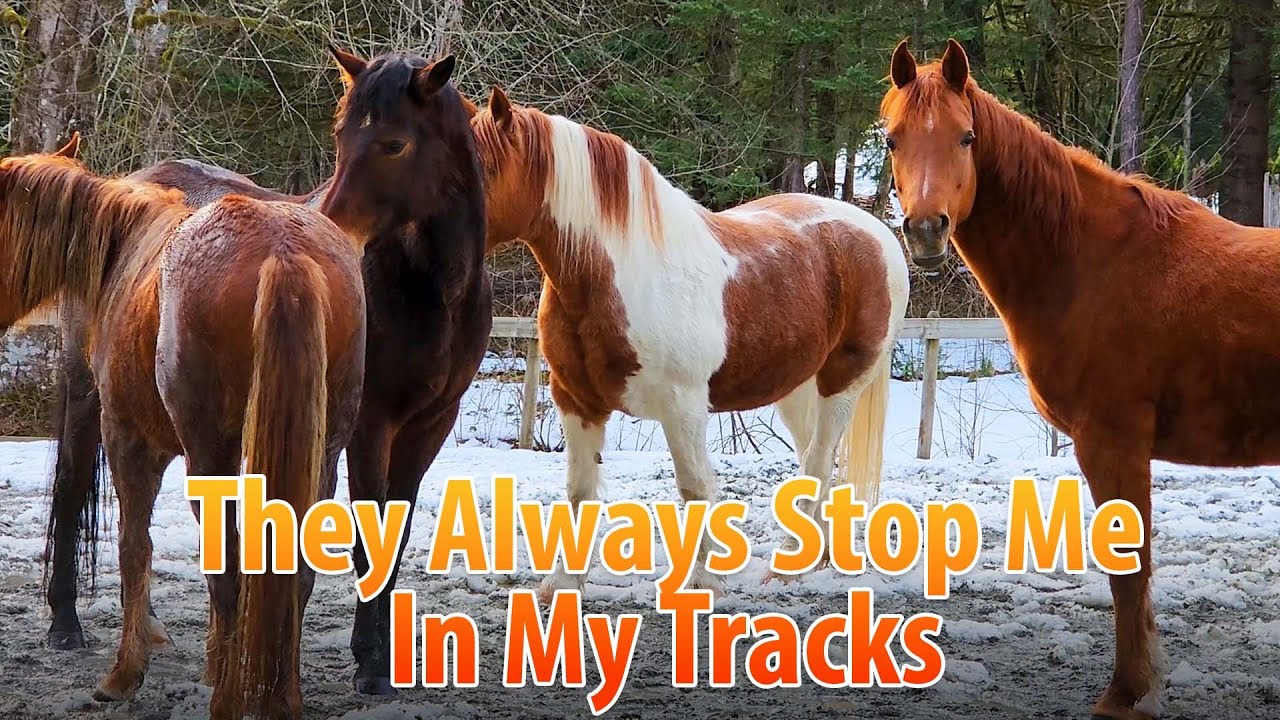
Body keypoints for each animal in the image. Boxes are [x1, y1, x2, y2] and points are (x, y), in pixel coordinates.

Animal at [0, 137, 366, 718]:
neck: (122, 244)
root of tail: (283, 250)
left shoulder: (130, 439)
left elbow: (134, 547)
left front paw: (126, 672)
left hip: (207, 452)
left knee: (225, 562)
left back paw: (230, 698)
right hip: (319, 452)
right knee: (291, 566)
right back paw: (279, 694)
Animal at [40, 49, 489, 697]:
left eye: (395, 144)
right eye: (341, 134)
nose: (336, 226)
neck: (428, 294)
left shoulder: (429, 425)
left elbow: (393, 537)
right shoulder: (370, 426)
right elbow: (367, 537)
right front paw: (369, 660)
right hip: (87, 392)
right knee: (74, 485)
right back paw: (66, 624)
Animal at [469, 87, 909, 597]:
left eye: (483, 167)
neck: (621, 273)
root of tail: (876, 233)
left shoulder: (683, 406)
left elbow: (694, 488)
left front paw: (702, 583)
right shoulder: (576, 401)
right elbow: (579, 491)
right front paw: (561, 585)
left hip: (843, 383)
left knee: (818, 464)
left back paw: (786, 568)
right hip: (799, 388)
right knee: (815, 463)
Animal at [881, 38, 1280, 720]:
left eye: (966, 137)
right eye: (891, 139)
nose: (927, 230)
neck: (1087, 261)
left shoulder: (1110, 442)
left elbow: (1129, 570)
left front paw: (1126, 692)